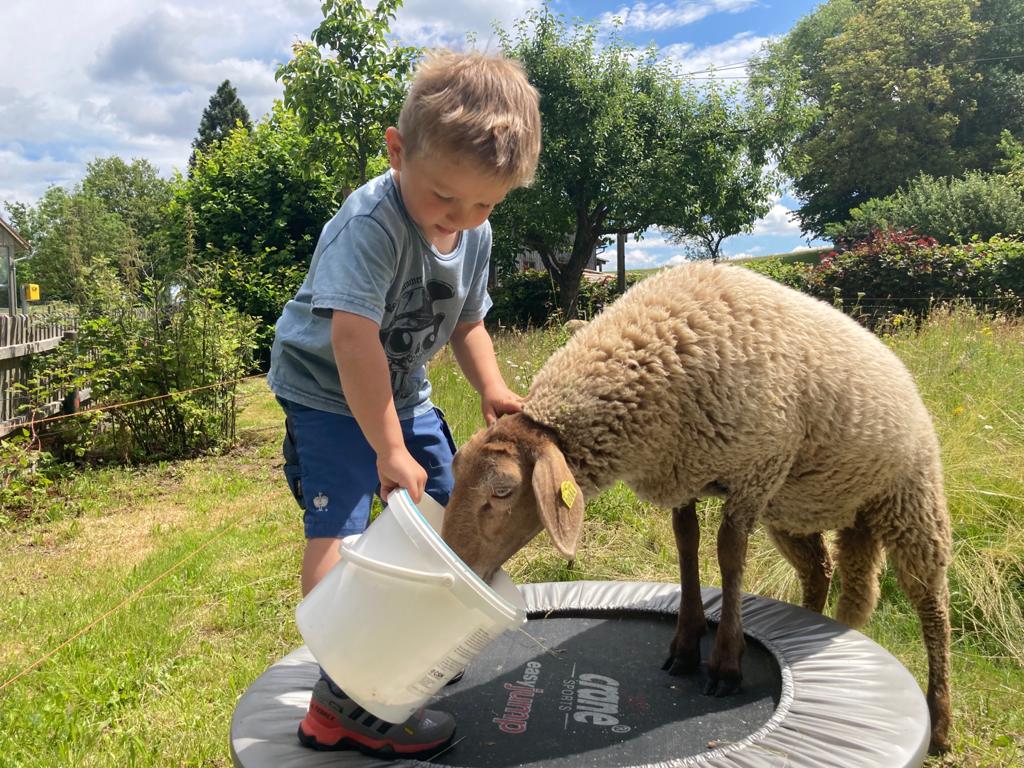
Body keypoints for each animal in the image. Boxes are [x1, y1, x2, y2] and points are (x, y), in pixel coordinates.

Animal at [441, 261, 952, 754]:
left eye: (503, 491)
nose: (456, 567)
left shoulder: (755, 470)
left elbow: (728, 556)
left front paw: (725, 662)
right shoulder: (685, 473)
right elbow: (686, 546)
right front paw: (686, 646)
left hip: (910, 493)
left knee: (931, 602)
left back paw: (941, 719)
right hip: (797, 507)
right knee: (820, 570)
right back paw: (814, 621)